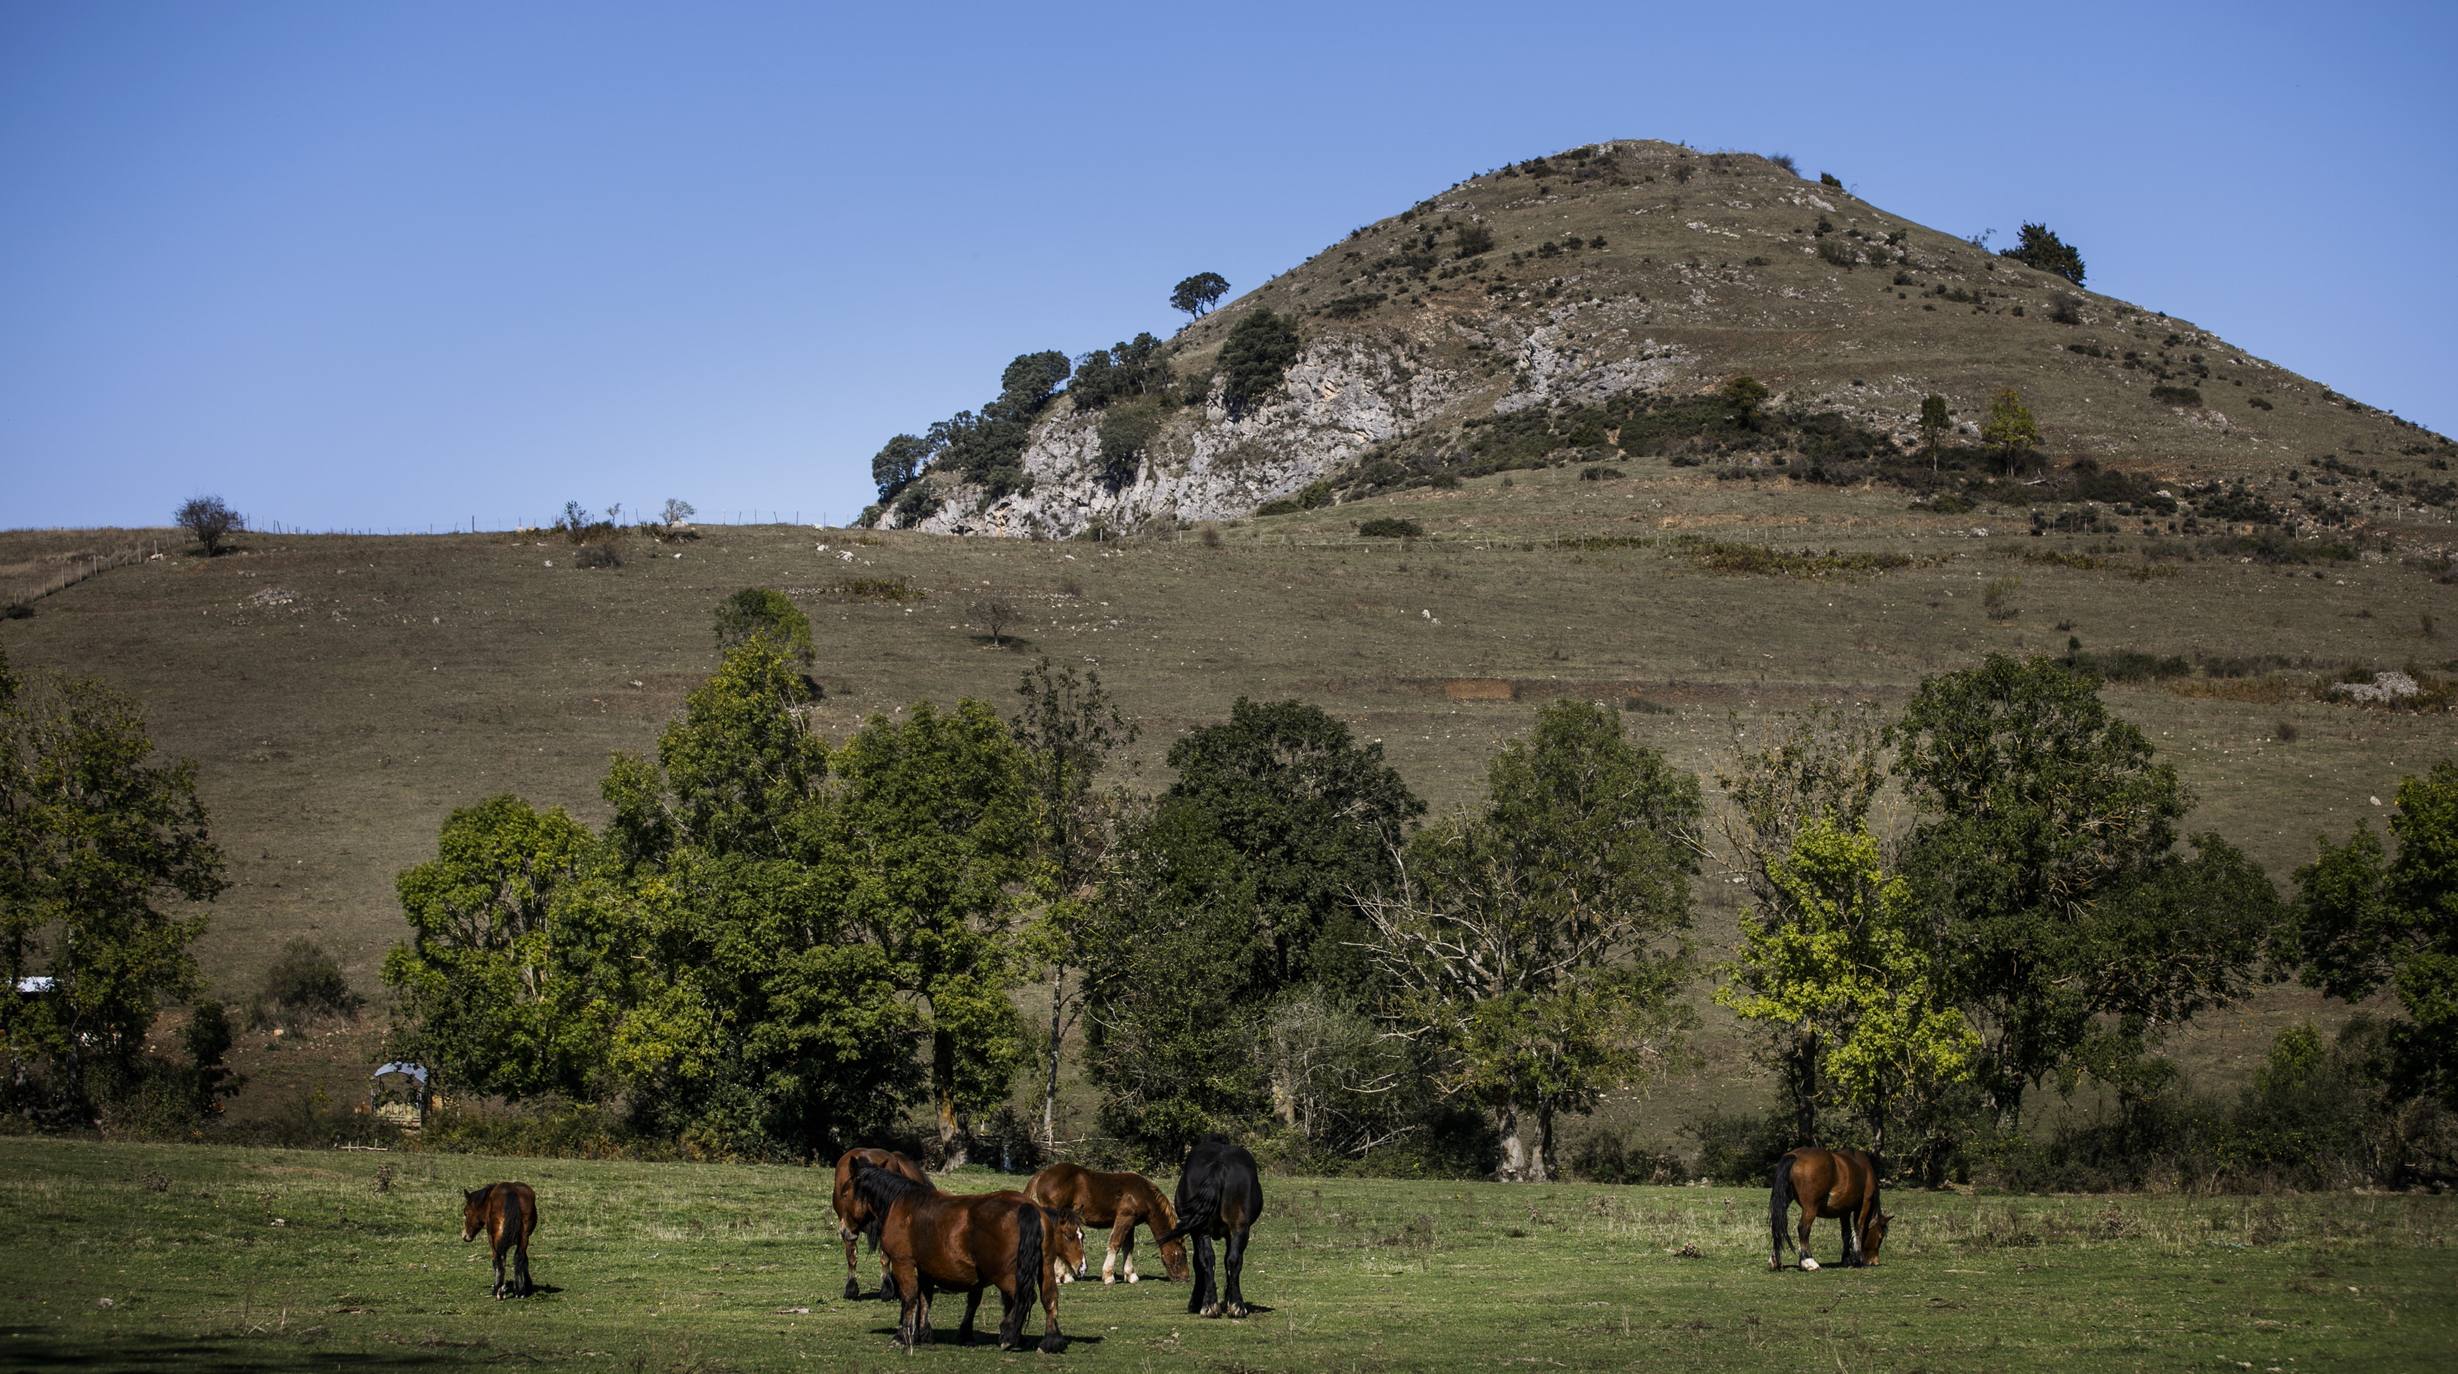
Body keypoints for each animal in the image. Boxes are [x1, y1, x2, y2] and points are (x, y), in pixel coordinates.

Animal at [835, 1150, 929, 1297]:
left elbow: (885, 1257)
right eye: (842, 1194)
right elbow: (851, 1256)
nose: (843, 1228)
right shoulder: (850, 1229)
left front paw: (887, 1288)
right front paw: (851, 1288)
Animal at [850, 1160, 1071, 1356]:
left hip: (1005, 1274)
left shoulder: (902, 1262)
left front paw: (902, 1336)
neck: (902, 1203)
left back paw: (1009, 1336)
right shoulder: (925, 1268)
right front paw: (923, 1334)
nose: (847, 1228)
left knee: (1025, 1297)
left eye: (847, 1190)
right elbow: (925, 1298)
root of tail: (1027, 1206)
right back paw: (1050, 1341)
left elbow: (909, 1298)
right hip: (1045, 1266)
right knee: (1049, 1297)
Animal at [1027, 1165, 1189, 1287]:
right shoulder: (1124, 1218)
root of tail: (1042, 1174)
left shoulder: (1131, 1223)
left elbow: (1128, 1247)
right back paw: (1062, 1277)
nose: (1185, 1278)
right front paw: (1108, 1276)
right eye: (1183, 1253)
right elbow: (1115, 1244)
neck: (1142, 1194)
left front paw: (1130, 1275)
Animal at [1150, 1135, 1268, 1317]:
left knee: (1207, 1259)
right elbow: (1226, 1259)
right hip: (1238, 1228)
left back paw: (1210, 1305)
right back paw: (1235, 1305)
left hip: (1202, 1230)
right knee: (1232, 1259)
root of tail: (1219, 1165)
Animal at [1769, 1145, 1897, 1278]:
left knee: (1777, 1225)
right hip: (1810, 1208)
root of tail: (1795, 1156)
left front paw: (1846, 1259)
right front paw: (1857, 1259)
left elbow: (1846, 1233)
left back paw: (1775, 1260)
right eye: (1880, 1236)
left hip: (1785, 1200)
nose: (1874, 1261)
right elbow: (1859, 1228)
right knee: (1803, 1228)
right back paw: (1808, 1262)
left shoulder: (1844, 1210)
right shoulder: (1865, 1203)